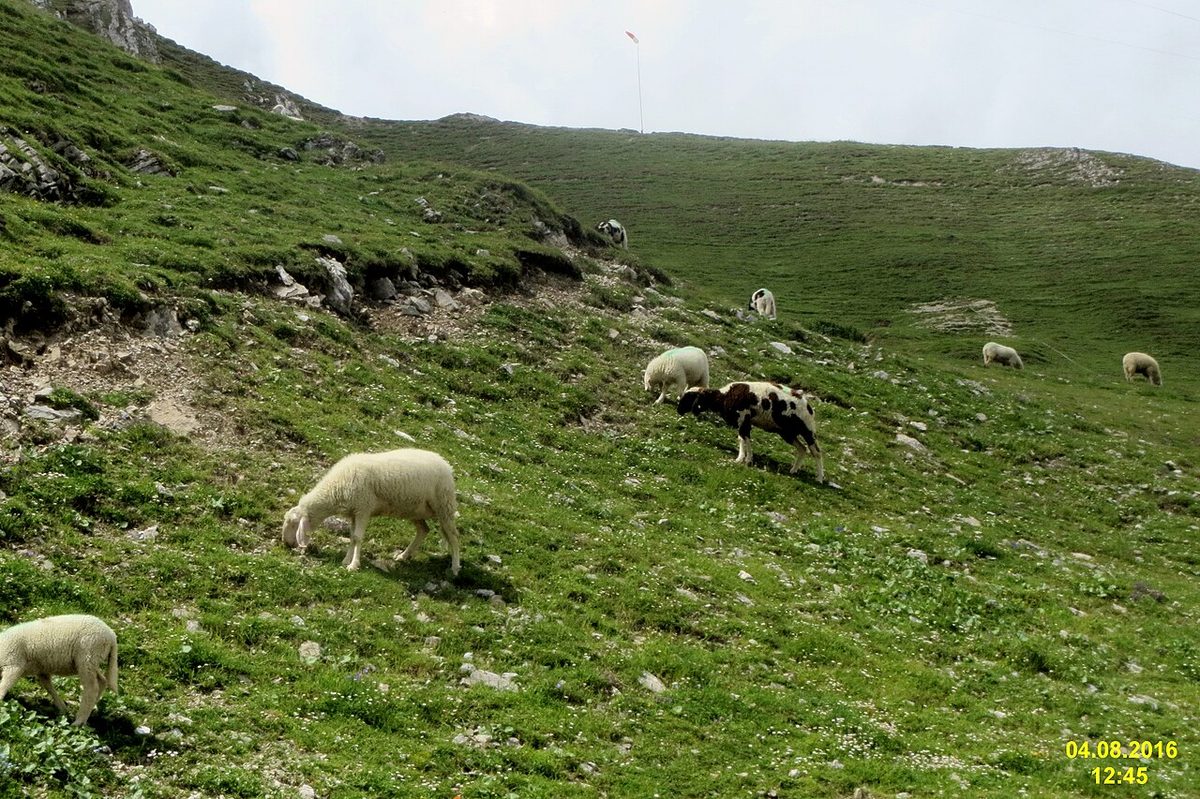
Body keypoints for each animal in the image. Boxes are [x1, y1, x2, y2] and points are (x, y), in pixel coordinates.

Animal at [282, 448, 462, 575]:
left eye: (293, 524)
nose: (286, 544)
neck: (336, 488)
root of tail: (445, 463)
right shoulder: (354, 512)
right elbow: (352, 537)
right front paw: (346, 560)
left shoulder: (364, 508)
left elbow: (358, 538)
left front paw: (354, 565)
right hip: (415, 509)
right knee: (424, 530)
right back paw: (404, 555)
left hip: (444, 505)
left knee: (453, 537)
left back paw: (455, 567)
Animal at [678, 381, 824, 482]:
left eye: (690, 396)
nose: (678, 410)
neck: (724, 396)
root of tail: (808, 406)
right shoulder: (743, 422)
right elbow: (743, 439)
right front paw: (745, 459)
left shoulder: (743, 418)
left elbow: (744, 439)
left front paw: (743, 459)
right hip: (787, 433)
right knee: (802, 449)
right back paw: (793, 470)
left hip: (807, 430)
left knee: (816, 452)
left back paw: (819, 478)